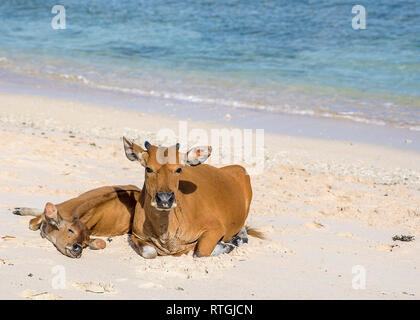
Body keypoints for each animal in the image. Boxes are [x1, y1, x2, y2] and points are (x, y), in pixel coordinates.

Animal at [121, 136, 262, 258]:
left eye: (178, 169)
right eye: (148, 169)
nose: (164, 199)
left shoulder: (216, 228)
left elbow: (200, 252)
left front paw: (227, 245)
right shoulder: (136, 234)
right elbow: (149, 252)